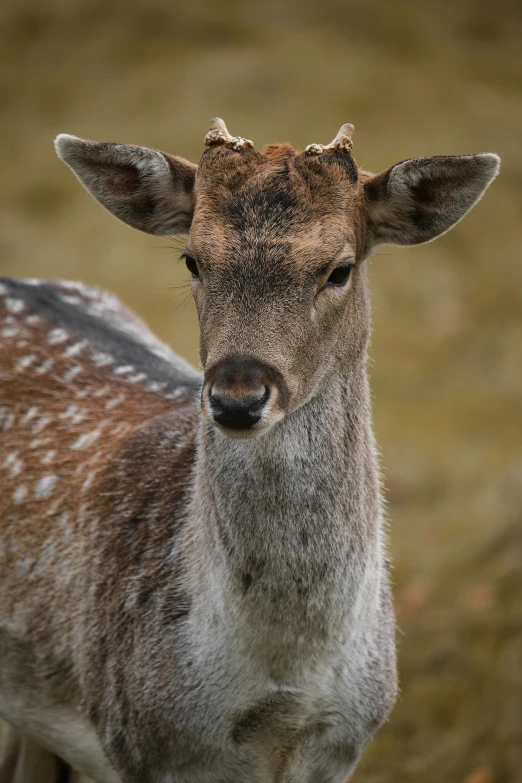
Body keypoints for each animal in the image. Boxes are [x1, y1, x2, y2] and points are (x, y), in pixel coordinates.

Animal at [0, 118, 498, 783]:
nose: (237, 396)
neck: (283, 690)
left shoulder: (344, 744)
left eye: (339, 269)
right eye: (192, 258)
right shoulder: (144, 743)